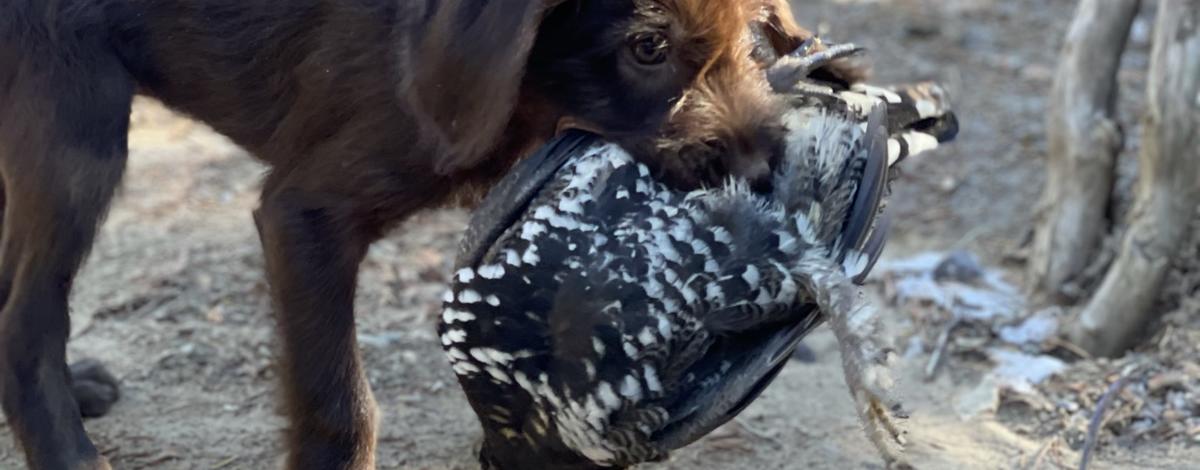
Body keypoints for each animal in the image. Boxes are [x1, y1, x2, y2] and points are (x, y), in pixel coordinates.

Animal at [0, 0, 844, 470]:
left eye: (754, 38)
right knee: (28, 316)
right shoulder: (303, 214)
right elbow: (341, 403)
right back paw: (70, 455)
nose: (765, 173)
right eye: (647, 47)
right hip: (74, 125)